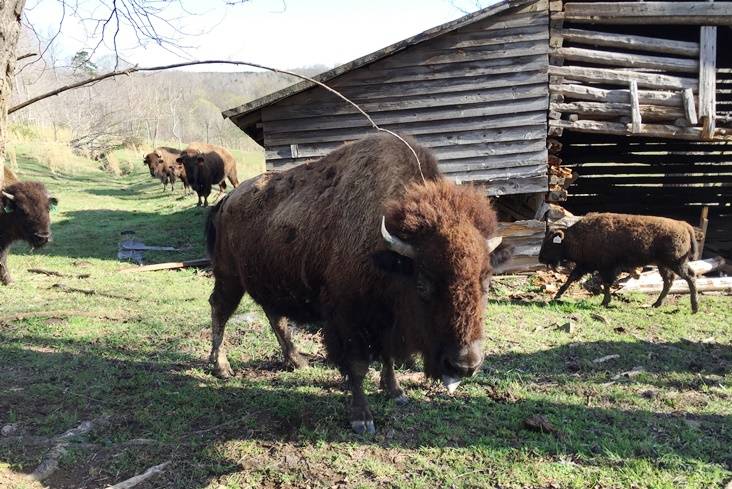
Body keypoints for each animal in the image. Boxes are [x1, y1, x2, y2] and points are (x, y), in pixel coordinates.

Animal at [204, 134, 508, 433]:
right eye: (423, 283)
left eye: (486, 283)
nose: (464, 365)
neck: (387, 253)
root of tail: (227, 200)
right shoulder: (348, 319)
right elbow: (358, 366)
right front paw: (362, 418)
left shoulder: (384, 320)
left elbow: (387, 356)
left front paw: (395, 392)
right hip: (229, 277)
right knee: (220, 309)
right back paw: (222, 367)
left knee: (274, 316)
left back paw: (297, 361)